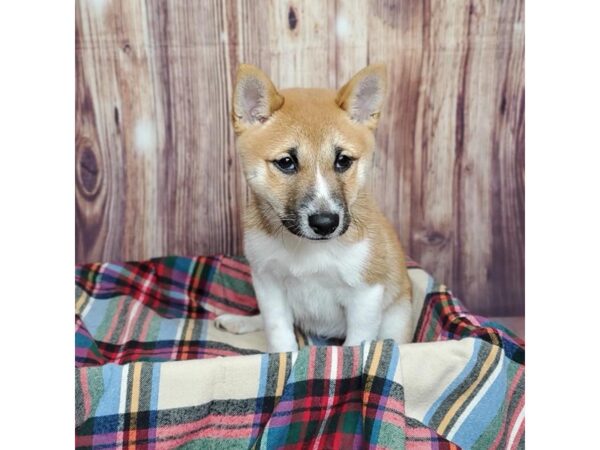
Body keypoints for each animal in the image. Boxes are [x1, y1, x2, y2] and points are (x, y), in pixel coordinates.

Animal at [216, 64, 412, 352]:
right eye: (286, 162)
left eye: (343, 160)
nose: (325, 223)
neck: (308, 249)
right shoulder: (267, 283)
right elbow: (278, 332)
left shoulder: (365, 293)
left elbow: (356, 346)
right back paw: (239, 321)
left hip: (396, 316)